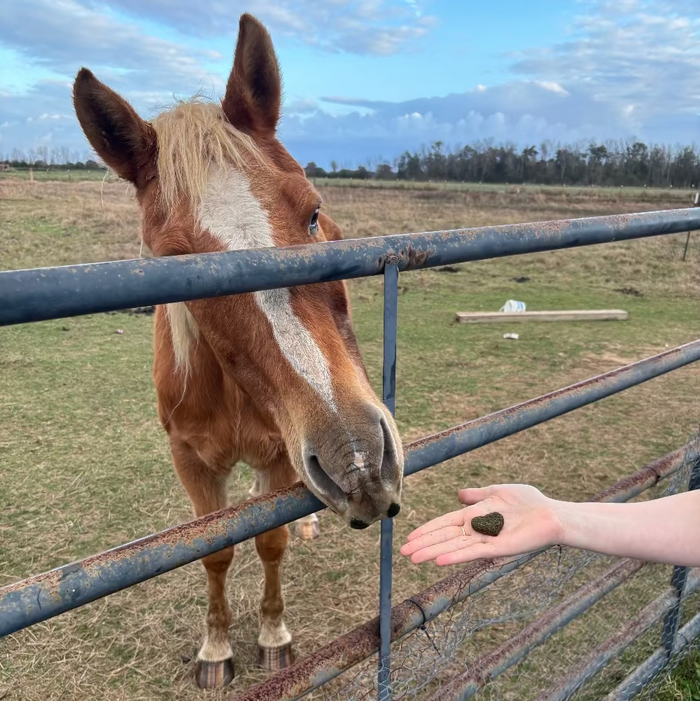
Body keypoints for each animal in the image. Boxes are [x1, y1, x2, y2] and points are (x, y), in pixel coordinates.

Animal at [72, 13, 404, 689]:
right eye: (176, 265)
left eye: (313, 214)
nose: (361, 466)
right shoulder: (191, 462)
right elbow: (217, 550)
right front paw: (216, 651)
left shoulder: (279, 452)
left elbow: (269, 542)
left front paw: (274, 637)